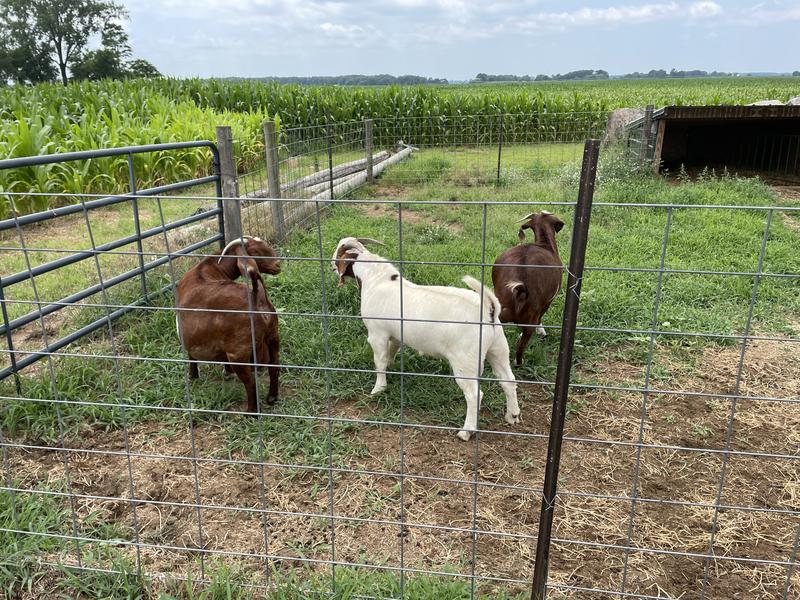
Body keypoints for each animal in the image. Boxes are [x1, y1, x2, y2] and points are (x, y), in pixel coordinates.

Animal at [176, 236, 281, 412]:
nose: (278, 265)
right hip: (273, 336)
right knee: (274, 367)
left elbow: (191, 355)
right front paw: (227, 372)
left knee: (250, 381)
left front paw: (193, 376)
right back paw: (272, 398)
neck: (207, 268)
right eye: (254, 251)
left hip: (238, 351)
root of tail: (256, 298)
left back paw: (251, 412)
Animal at [332, 237, 519, 441]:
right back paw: (512, 416)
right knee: (508, 380)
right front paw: (390, 366)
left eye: (339, 254)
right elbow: (392, 351)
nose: (332, 266)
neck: (377, 279)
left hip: (465, 361)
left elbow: (379, 361)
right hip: (498, 348)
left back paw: (466, 432)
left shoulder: (377, 333)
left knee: (474, 394)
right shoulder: (396, 333)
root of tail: (489, 309)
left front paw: (378, 389)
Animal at [492, 212, 565, 366]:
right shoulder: (548, 302)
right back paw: (519, 362)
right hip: (529, 320)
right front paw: (541, 331)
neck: (545, 244)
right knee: (521, 345)